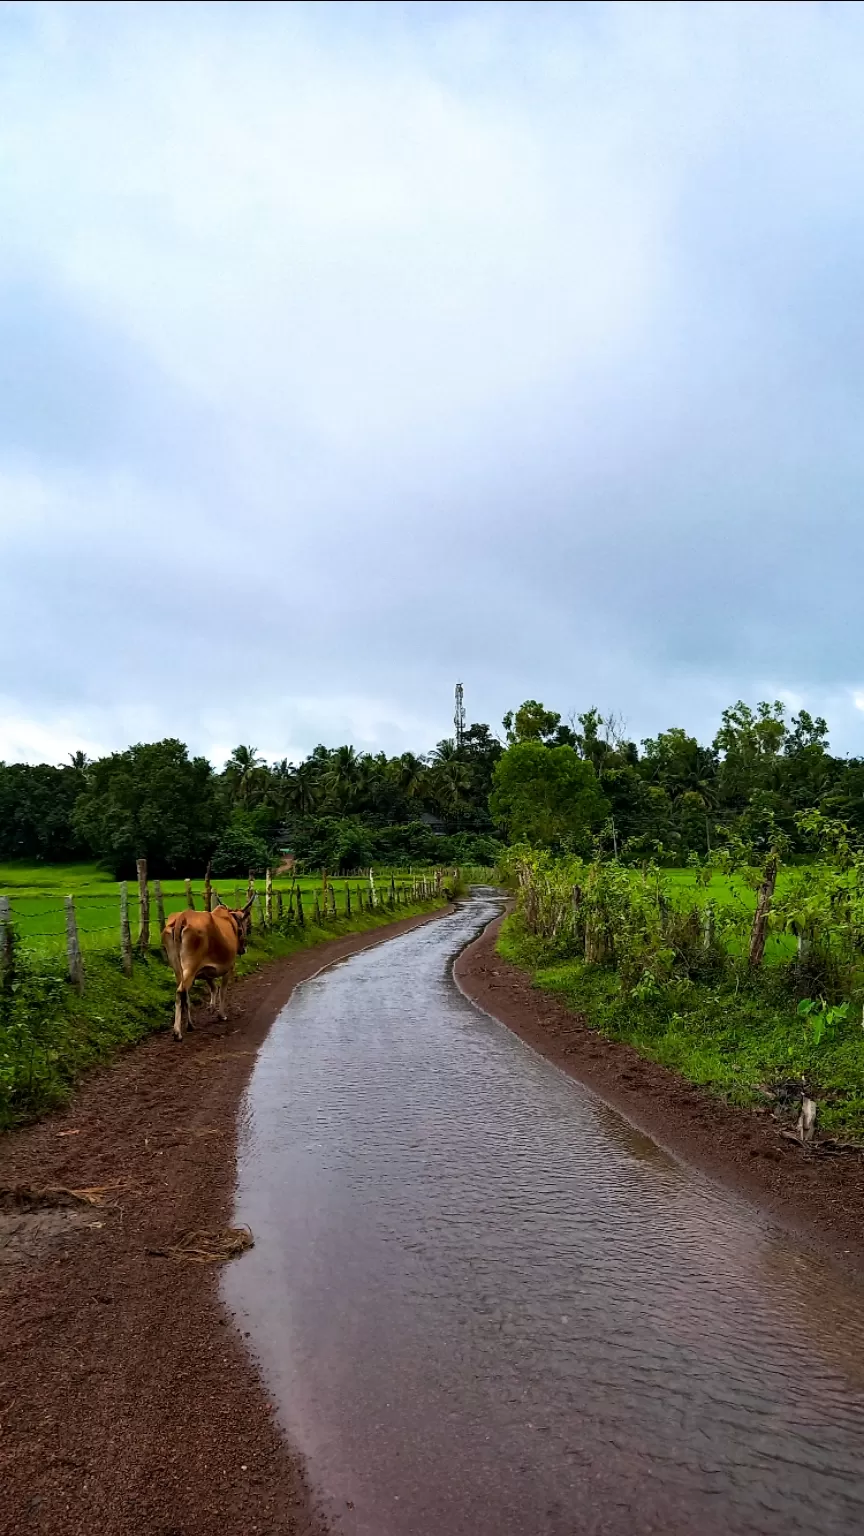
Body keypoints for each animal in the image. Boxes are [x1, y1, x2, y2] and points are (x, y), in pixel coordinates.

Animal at [161, 897, 253, 1044]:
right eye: (245, 925)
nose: (243, 949)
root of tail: (183, 916)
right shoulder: (229, 967)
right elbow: (222, 991)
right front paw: (221, 1015)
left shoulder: (206, 970)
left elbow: (213, 987)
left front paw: (211, 1007)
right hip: (191, 965)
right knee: (181, 991)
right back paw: (177, 1032)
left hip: (177, 967)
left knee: (184, 992)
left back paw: (190, 1025)